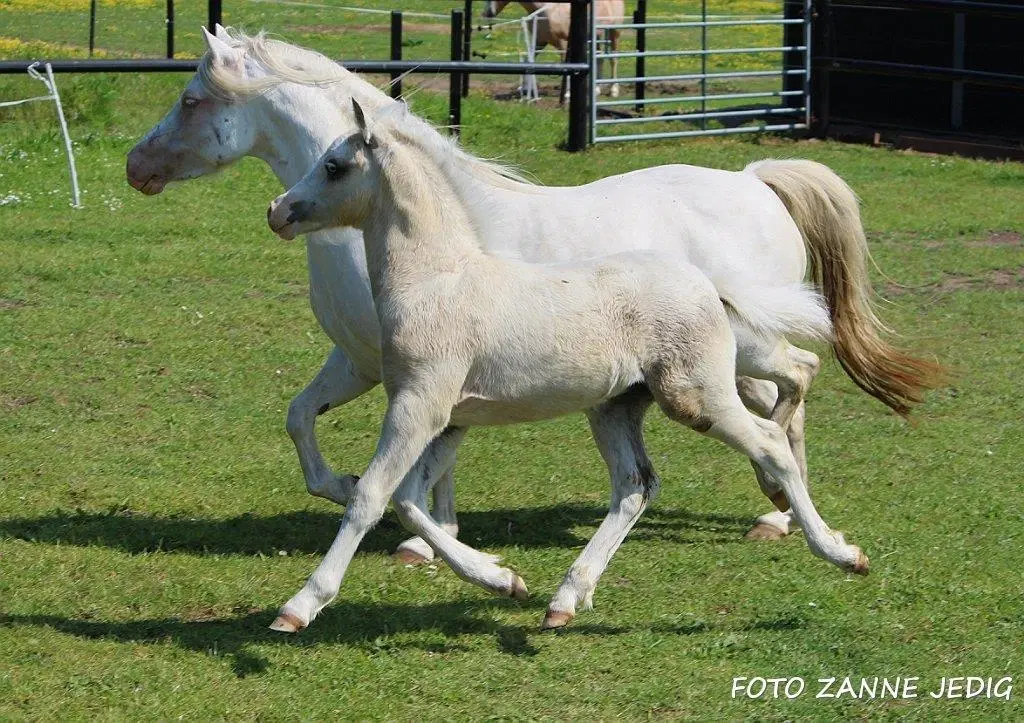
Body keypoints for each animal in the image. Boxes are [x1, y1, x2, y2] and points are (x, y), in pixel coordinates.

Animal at [128, 28, 942, 565]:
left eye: (190, 98)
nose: (137, 167)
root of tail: (756, 180)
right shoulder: (366, 362)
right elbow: (308, 422)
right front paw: (424, 532)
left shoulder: (384, 369)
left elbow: (410, 459)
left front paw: (410, 528)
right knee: (786, 392)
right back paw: (779, 511)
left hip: (737, 350)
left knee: (792, 387)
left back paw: (783, 515)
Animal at [262, 99, 864, 630]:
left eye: (334, 166)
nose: (277, 212)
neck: (438, 281)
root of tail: (705, 283)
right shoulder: (448, 419)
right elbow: (411, 502)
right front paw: (502, 579)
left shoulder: (418, 406)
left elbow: (371, 497)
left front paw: (300, 606)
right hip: (616, 407)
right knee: (636, 485)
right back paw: (566, 598)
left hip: (696, 397)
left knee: (772, 439)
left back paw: (835, 548)